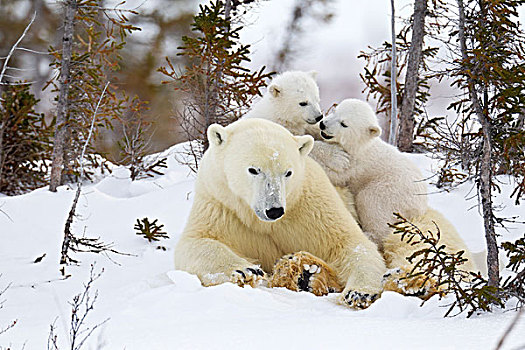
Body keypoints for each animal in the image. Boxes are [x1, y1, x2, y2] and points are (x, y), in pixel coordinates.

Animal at [174, 118, 386, 308]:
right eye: (253, 170)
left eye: (288, 172)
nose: (274, 210)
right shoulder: (220, 204)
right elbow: (196, 242)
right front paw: (246, 270)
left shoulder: (309, 205)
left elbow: (349, 243)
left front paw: (359, 293)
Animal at [314, 98, 476, 276]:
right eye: (335, 111)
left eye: (344, 124)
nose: (323, 124)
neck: (361, 145)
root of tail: (420, 208)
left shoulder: (356, 165)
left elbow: (336, 173)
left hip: (387, 192)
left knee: (372, 206)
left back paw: (368, 234)